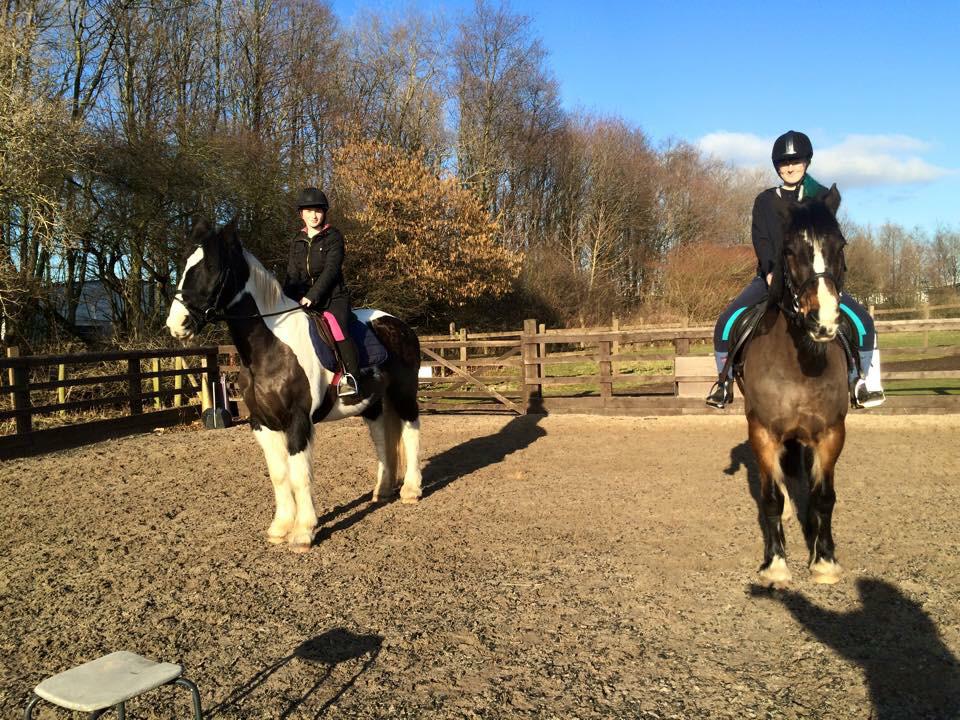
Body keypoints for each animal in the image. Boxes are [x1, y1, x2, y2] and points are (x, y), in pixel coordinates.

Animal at [165, 219, 422, 551]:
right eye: (184, 265)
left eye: (211, 267)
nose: (177, 325)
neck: (271, 347)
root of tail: (398, 324)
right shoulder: (262, 423)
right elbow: (279, 475)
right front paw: (280, 527)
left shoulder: (298, 421)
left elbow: (300, 475)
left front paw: (303, 532)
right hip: (373, 403)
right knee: (381, 440)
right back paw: (382, 491)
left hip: (404, 395)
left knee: (411, 432)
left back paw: (411, 491)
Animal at [738, 185, 849, 588]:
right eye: (788, 251)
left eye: (840, 245)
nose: (824, 321)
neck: (801, 362)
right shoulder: (762, 430)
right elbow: (769, 497)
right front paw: (776, 563)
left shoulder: (832, 433)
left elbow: (824, 497)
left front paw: (824, 559)